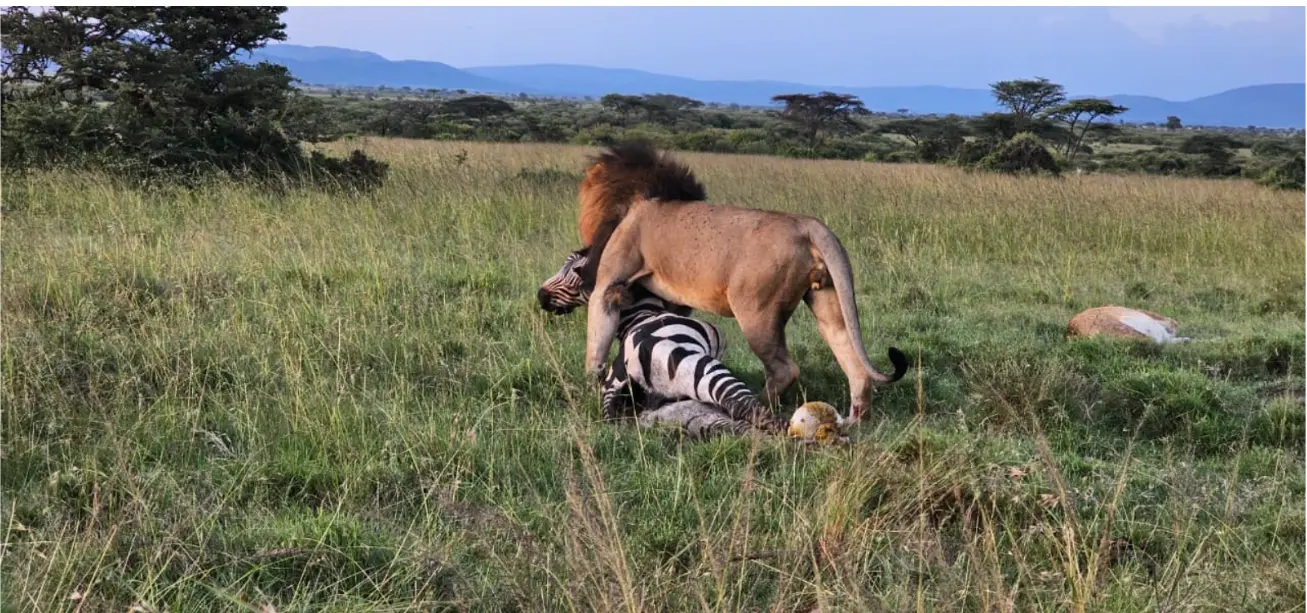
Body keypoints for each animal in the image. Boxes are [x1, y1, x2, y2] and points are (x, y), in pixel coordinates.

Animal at [538, 247, 785, 436]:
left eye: (571, 270)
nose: (540, 296)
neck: (642, 313)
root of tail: (623, 371)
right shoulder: (717, 338)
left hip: (646, 403)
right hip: (697, 368)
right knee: (742, 404)